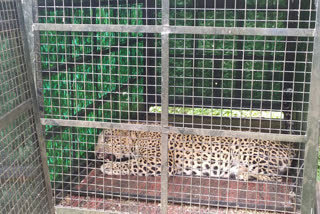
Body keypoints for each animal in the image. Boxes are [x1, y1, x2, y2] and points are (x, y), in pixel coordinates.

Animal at [95, 129, 296, 182]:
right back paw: (238, 172)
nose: (95, 153)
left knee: (274, 177)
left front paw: (108, 167)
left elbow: (131, 163)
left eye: (106, 138)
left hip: (244, 147)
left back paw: (243, 174)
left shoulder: (161, 161)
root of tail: (288, 146)